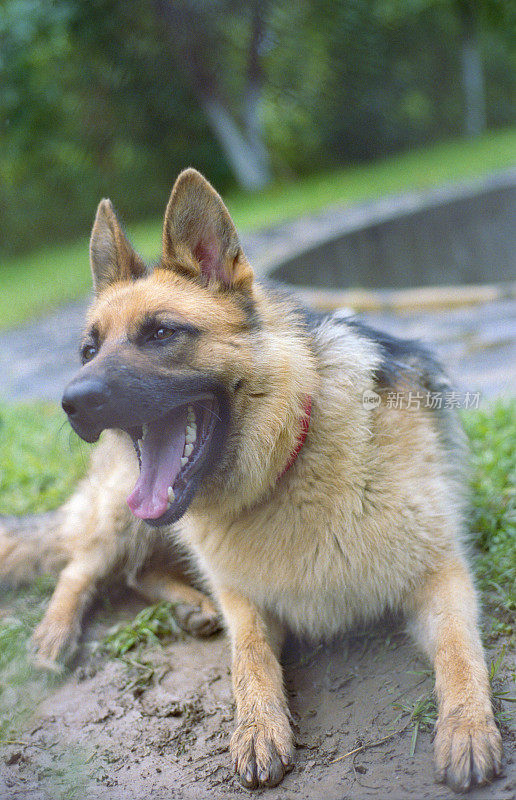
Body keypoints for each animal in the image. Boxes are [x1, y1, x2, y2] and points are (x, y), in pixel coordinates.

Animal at [0, 170, 500, 792]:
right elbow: (249, 661)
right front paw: (257, 727)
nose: (71, 402)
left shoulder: (442, 574)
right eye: (88, 350)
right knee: (85, 567)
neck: (288, 464)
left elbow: (460, 651)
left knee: (136, 572)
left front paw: (466, 727)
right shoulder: (245, 602)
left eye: (161, 333)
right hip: (121, 516)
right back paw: (58, 632)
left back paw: (188, 607)